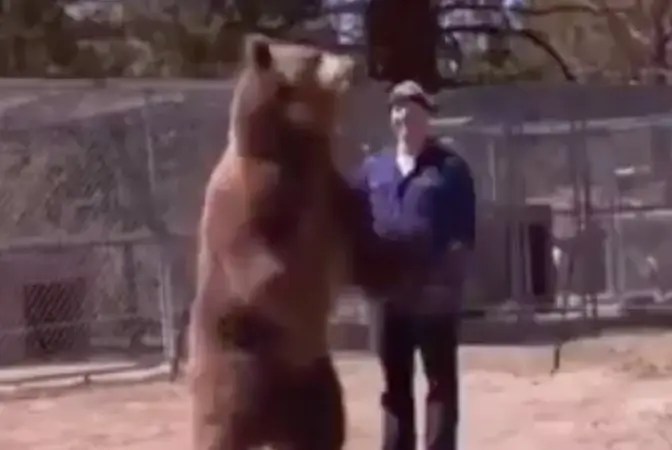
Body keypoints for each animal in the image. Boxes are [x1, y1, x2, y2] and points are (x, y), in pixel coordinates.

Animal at [187, 35, 411, 450]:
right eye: (314, 55)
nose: (354, 63)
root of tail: (269, 423)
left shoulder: (332, 193)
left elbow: (364, 251)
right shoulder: (257, 193)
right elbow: (259, 265)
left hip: (313, 384)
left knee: (323, 429)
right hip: (235, 370)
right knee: (219, 428)